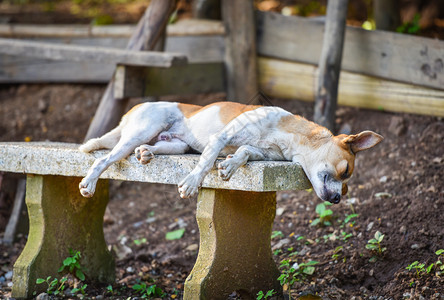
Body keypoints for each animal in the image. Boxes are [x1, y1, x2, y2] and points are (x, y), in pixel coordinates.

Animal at [79, 101, 382, 204]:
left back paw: (146, 154)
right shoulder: (221, 137)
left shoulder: (261, 153)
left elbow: (246, 151)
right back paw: (89, 182)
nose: (337, 200)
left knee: (151, 148)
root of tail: (134, 109)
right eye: (345, 171)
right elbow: (205, 163)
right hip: (139, 132)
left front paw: (231, 164)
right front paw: (193, 182)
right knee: (104, 158)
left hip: (176, 144)